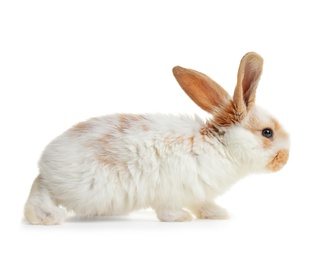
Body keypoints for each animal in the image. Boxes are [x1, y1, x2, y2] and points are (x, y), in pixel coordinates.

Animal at [23, 51, 292, 224]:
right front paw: (181, 218)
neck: (221, 145)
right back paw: (47, 218)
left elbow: (204, 205)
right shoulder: (173, 191)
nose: (285, 158)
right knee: (38, 192)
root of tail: (46, 163)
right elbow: (168, 211)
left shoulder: (199, 194)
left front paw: (219, 214)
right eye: (267, 132)